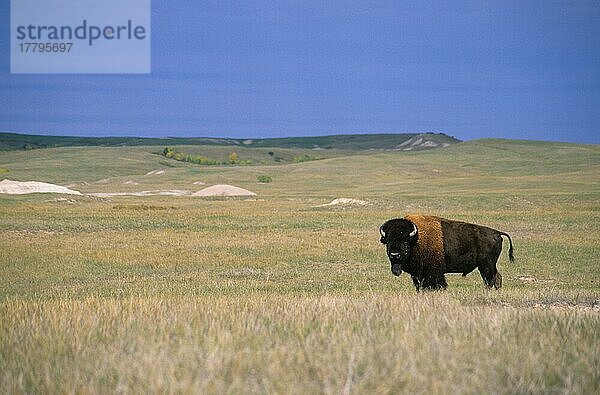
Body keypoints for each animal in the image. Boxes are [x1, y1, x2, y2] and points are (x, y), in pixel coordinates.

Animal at [380, 217, 516, 290]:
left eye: (405, 241)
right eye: (388, 241)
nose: (394, 255)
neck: (416, 239)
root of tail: (497, 233)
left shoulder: (433, 273)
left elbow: (438, 284)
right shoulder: (418, 274)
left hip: (487, 265)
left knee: (491, 279)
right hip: (486, 266)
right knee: (496, 278)